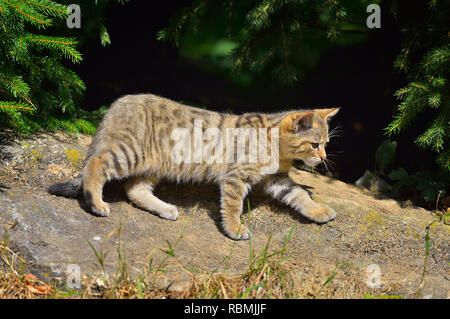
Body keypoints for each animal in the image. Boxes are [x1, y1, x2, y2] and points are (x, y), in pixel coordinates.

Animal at [48, 94, 338, 240]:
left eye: (325, 143)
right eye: (314, 144)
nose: (323, 157)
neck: (276, 148)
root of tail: (119, 103)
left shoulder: (277, 179)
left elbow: (299, 194)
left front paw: (319, 210)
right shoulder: (235, 178)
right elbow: (232, 207)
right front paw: (234, 229)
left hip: (153, 165)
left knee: (134, 190)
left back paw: (165, 208)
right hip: (129, 153)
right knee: (95, 164)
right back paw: (96, 203)